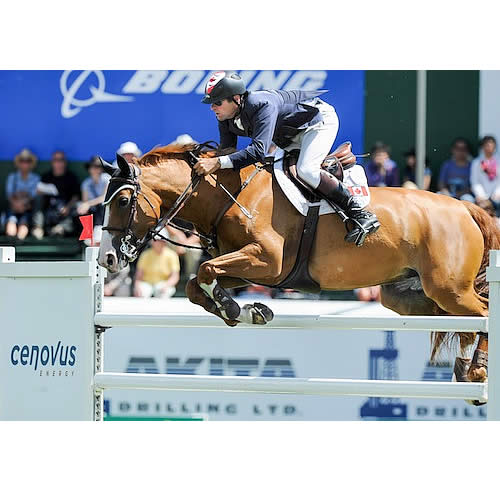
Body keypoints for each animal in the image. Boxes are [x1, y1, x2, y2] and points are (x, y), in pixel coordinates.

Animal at [97, 144, 500, 390]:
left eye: (122, 200)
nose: (107, 259)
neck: (229, 193)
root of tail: (466, 208)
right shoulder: (250, 266)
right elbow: (199, 283)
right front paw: (246, 311)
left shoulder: (267, 260)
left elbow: (206, 272)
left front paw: (237, 309)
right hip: (409, 297)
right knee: (463, 322)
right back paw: (465, 370)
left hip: (448, 288)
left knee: (482, 313)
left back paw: (478, 369)